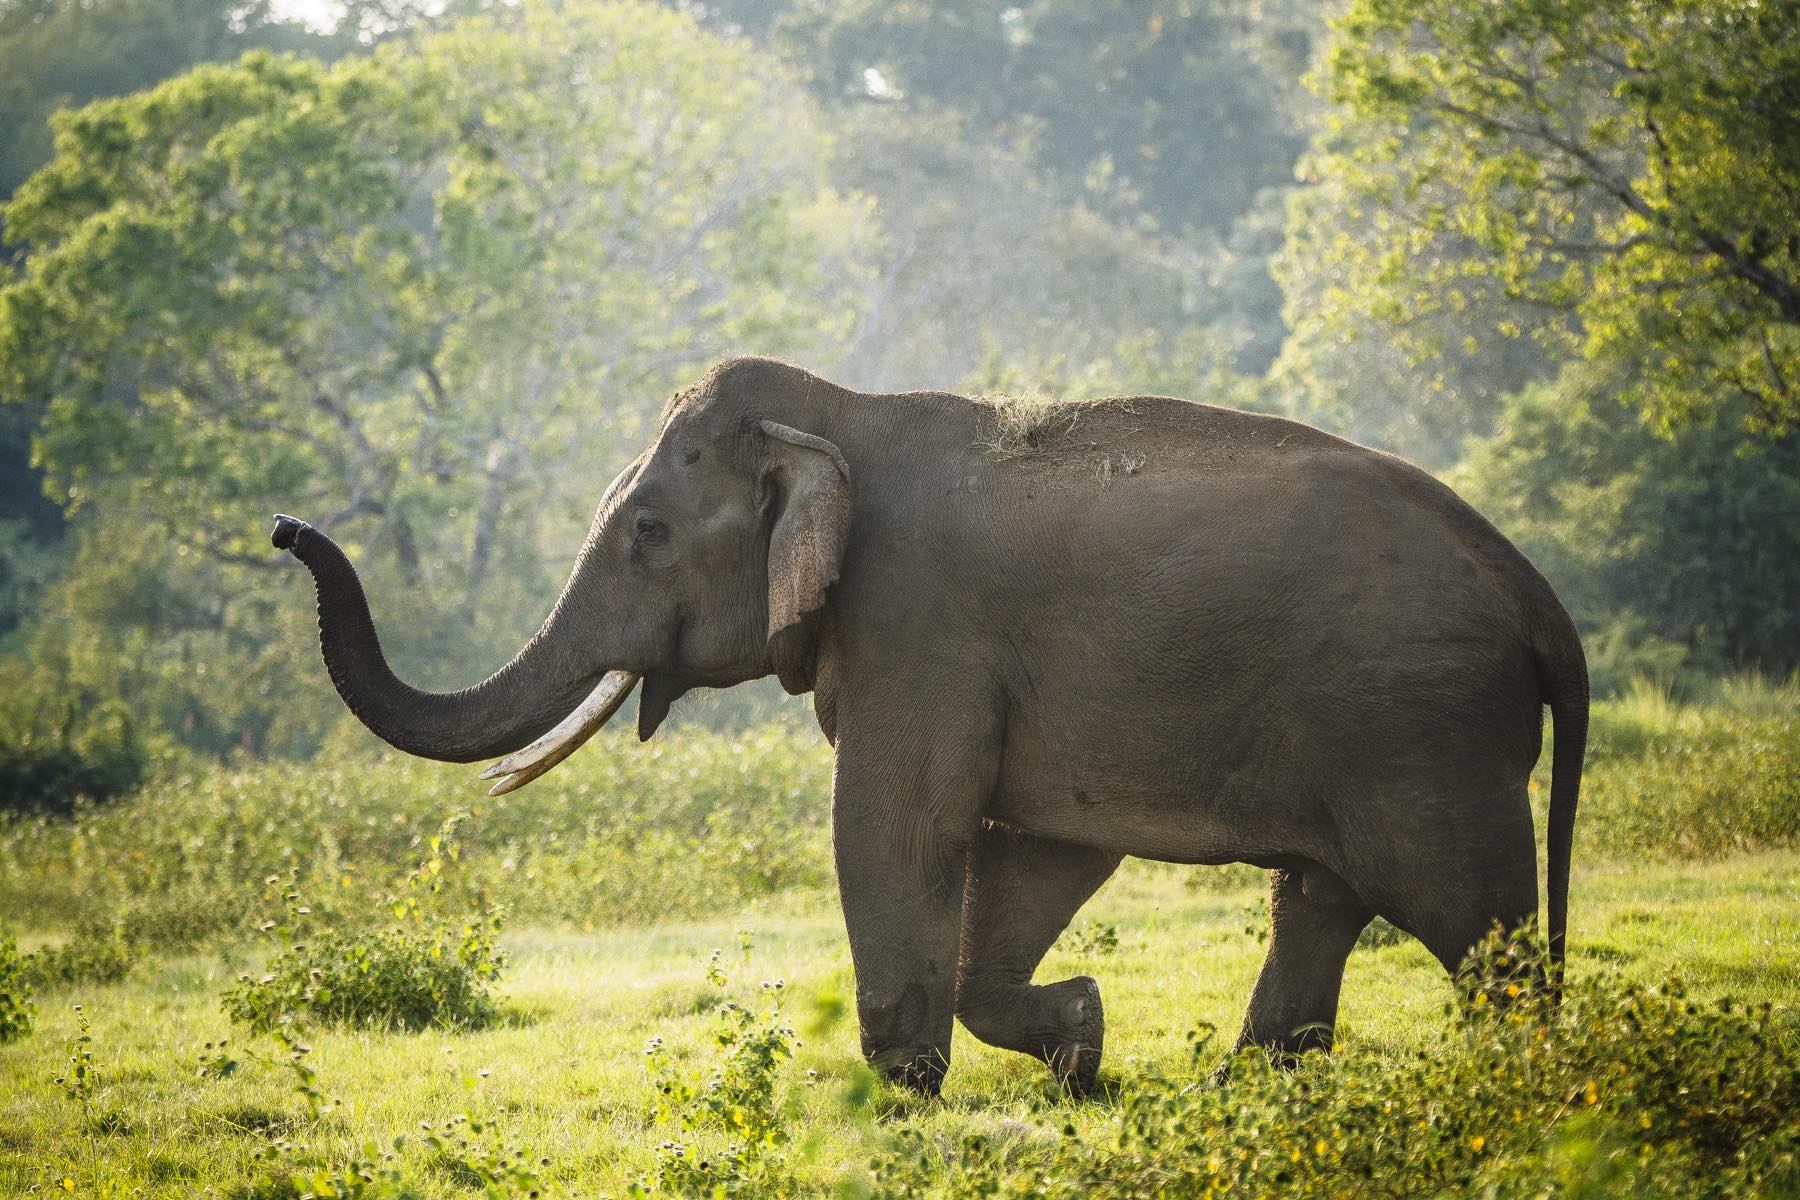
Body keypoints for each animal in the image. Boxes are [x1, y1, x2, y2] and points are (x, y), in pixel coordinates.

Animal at [272, 356, 1587, 1097]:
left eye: (647, 532)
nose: (285, 526)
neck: (840, 419)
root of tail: (1538, 597)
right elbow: (1035, 849)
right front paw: (1082, 1046)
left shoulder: (921, 626)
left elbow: (895, 825)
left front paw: (909, 1089)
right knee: (1319, 901)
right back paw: (1247, 1096)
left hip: (1423, 735)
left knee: (1477, 930)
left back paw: (1520, 1090)